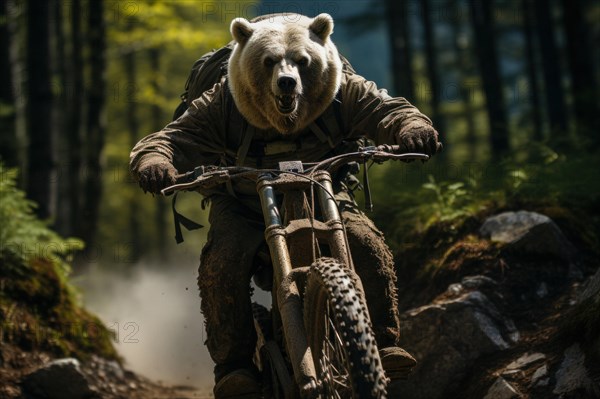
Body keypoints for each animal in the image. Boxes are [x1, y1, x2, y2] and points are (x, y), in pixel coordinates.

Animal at [131, 13, 440, 399]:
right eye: (268, 61)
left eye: (303, 61)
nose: (287, 83)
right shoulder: (214, 109)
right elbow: (173, 136)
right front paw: (153, 167)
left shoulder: (349, 92)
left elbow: (388, 107)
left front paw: (418, 134)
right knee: (225, 269)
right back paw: (236, 373)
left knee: (366, 246)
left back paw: (390, 351)